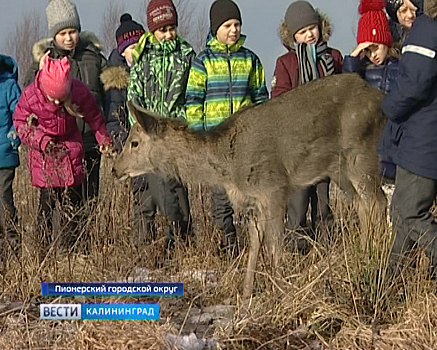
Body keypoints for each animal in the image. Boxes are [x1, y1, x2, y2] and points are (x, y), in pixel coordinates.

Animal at [111, 73, 384, 298]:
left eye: (134, 142)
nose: (115, 169)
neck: (229, 167)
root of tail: (377, 96)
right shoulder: (253, 201)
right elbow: (254, 244)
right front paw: (247, 294)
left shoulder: (274, 188)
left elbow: (275, 246)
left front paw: (281, 290)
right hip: (339, 171)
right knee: (363, 206)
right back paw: (363, 257)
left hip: (360, 150)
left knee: (377, 202)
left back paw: (376, 261)